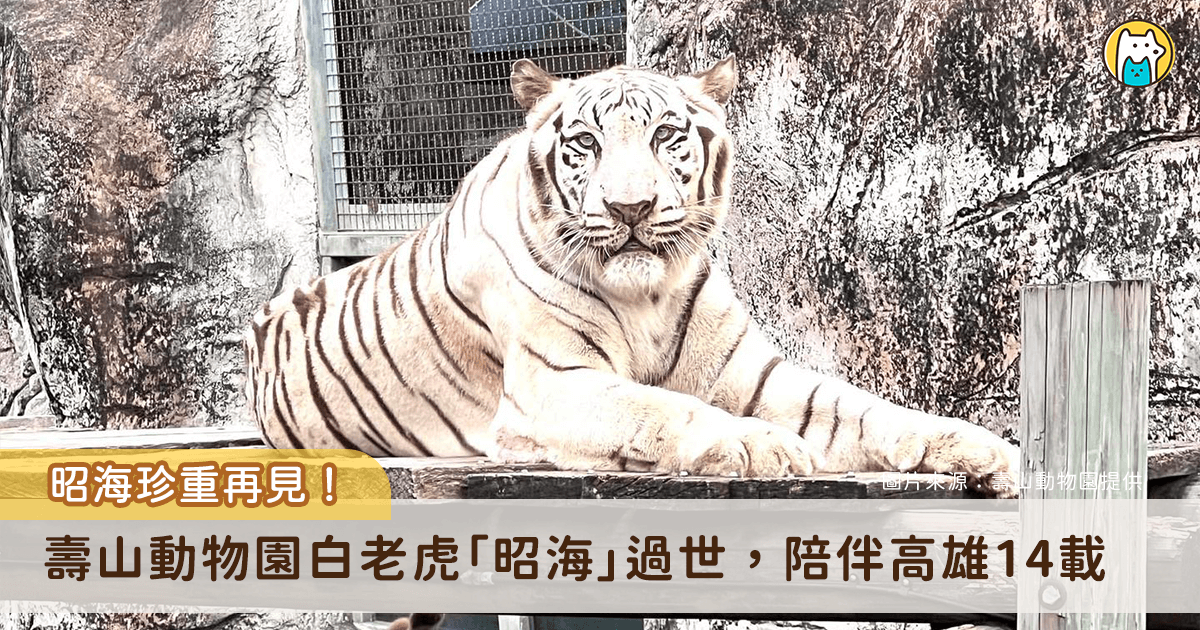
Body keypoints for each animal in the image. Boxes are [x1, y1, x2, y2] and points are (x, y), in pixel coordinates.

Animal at [243, 55, 1020, 497]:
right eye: (585, 143)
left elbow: (860, 407)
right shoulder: (554, 384)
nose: (630, 207)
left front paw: (981, 449)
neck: (647, 292)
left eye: (664, 135)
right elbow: (661, 407)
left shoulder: (754, 375)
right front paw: (762, 445)